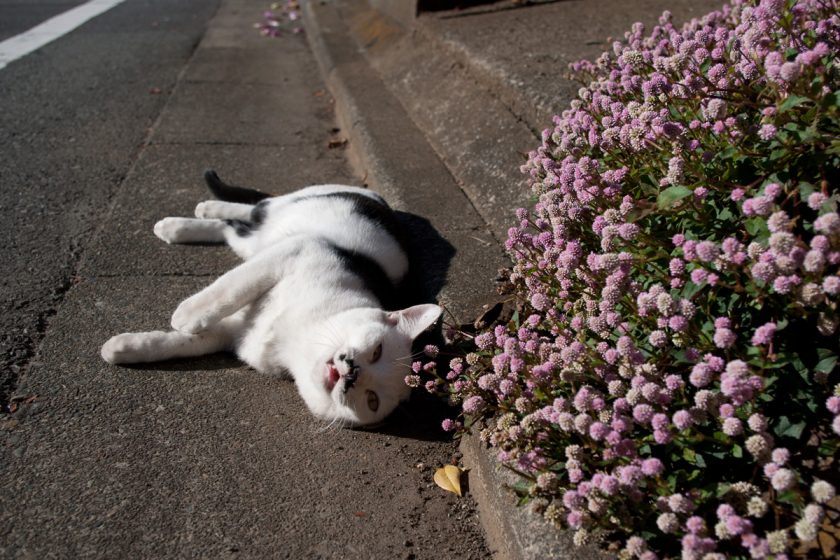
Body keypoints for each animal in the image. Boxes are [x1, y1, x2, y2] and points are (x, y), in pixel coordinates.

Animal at [101, 170, 442, 424]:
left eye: (372, 400)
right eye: (376, 351)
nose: (353, 374)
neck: (297, 339)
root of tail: (379, 199)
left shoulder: (232, 334)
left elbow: (185, 344)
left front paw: (125, 348)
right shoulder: (299, 249)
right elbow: (232, 287)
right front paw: (187, 315)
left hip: (251, 243)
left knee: (236, 227)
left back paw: (187, 223)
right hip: (291, 209)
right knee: (256, 207)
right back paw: (191, 216)